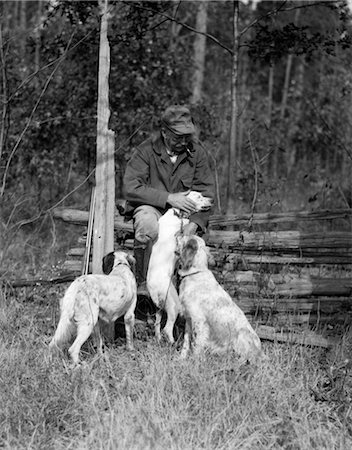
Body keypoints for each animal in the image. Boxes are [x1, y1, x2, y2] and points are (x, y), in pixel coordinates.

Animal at [146, 189, 212, 342]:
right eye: (199, 196)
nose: (211, 200)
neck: (177, 215)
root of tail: (153, 288)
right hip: (173, 305)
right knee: (167, 328)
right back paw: (172, 343)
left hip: (160, 308)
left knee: (157, 324)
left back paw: (158, 340)